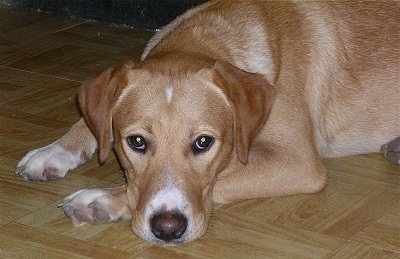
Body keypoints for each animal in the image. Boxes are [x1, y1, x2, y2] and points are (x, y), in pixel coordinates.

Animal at [14, 0, 398, 245]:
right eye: (136, 142)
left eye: (203, 143)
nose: (168, 230)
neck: (206, 36)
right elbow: (92, 121)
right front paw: (55, 151)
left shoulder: (298, 161)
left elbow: (220, 180)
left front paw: (103, 201)